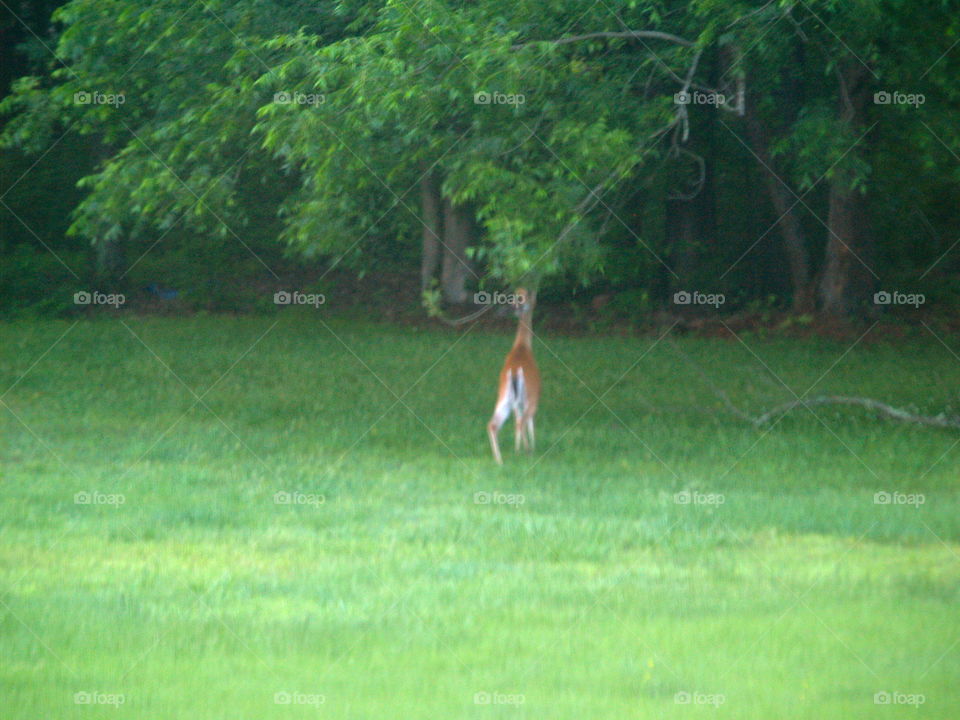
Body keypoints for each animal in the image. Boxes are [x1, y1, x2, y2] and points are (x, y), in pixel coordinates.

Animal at [488, 288, 540, 464]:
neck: (522, 346)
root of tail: (515, 372)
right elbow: (529, 423)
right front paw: (528, 447)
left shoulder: (517, 402)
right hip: (530, 397)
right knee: (523, 421)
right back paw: (526, 451)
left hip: (505, 396)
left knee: (494, 424)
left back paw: (499, 459)